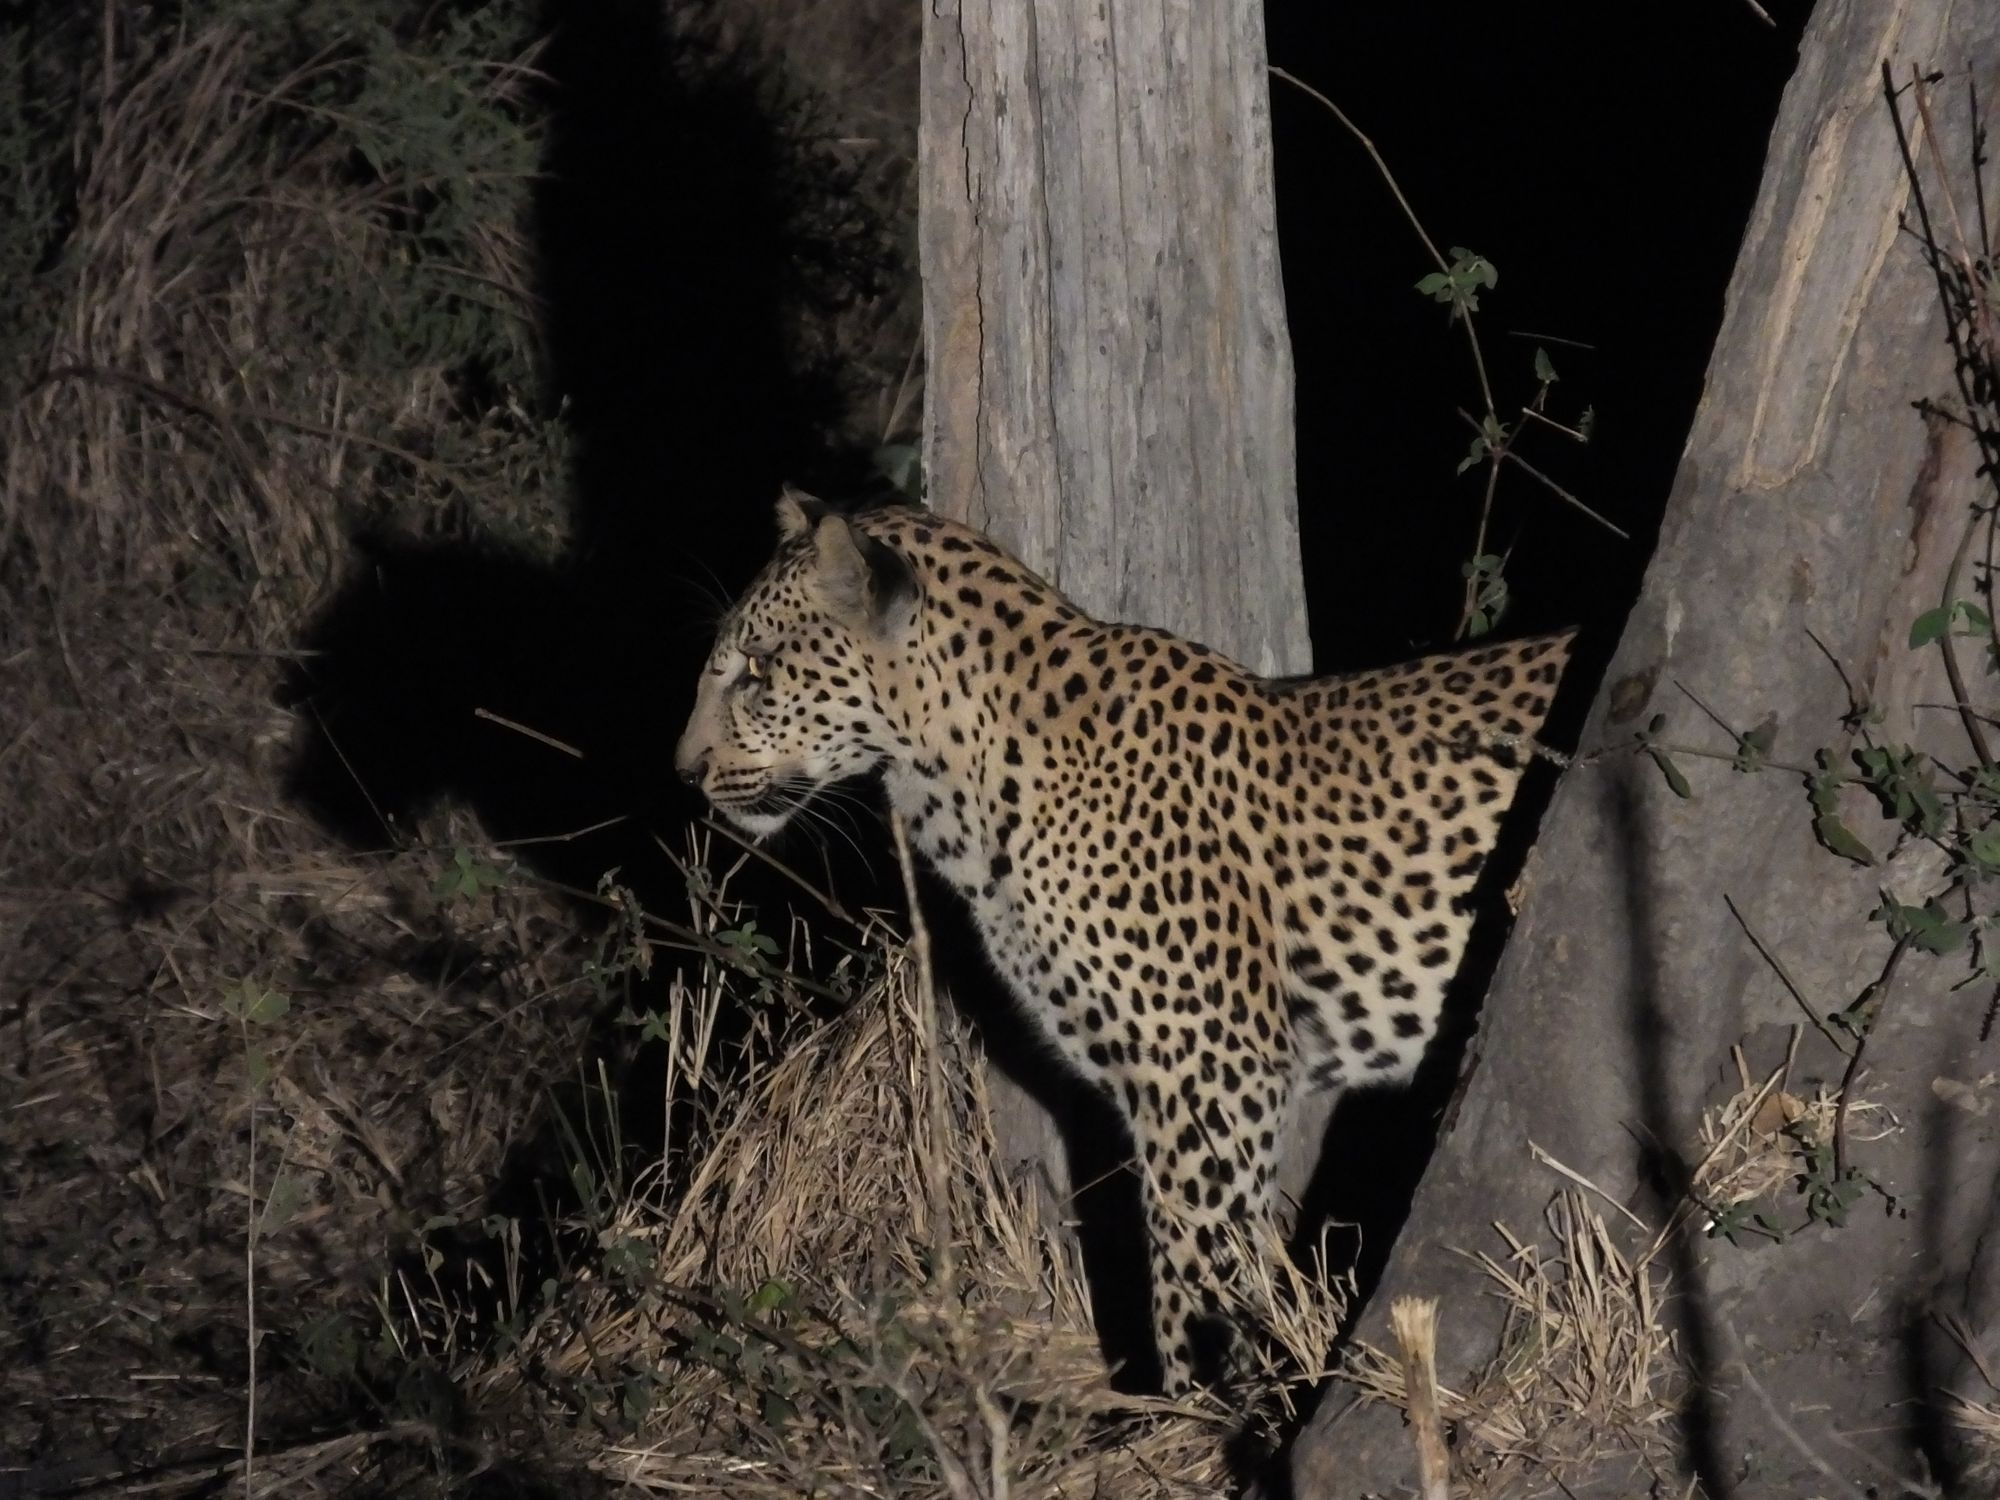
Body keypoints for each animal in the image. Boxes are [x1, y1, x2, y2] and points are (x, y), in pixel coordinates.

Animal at [674, 489, 1574, 1394]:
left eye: (757, 667)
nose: (684, 771)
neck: (958, 780)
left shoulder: (1212, 1070)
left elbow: (1192, 1270)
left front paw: (1197, 1406)